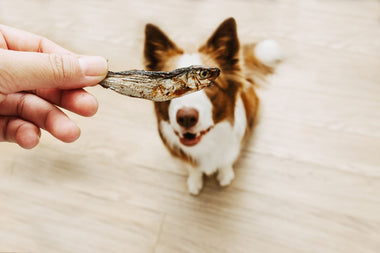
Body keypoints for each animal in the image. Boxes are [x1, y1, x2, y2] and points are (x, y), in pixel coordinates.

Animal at [142, 17, 280, 195]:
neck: (206, 142)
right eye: (169, 84)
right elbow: (193, 168)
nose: (186, 118)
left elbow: (226, 162)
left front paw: (225, 175)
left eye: (210, 84)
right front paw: (195, 181)